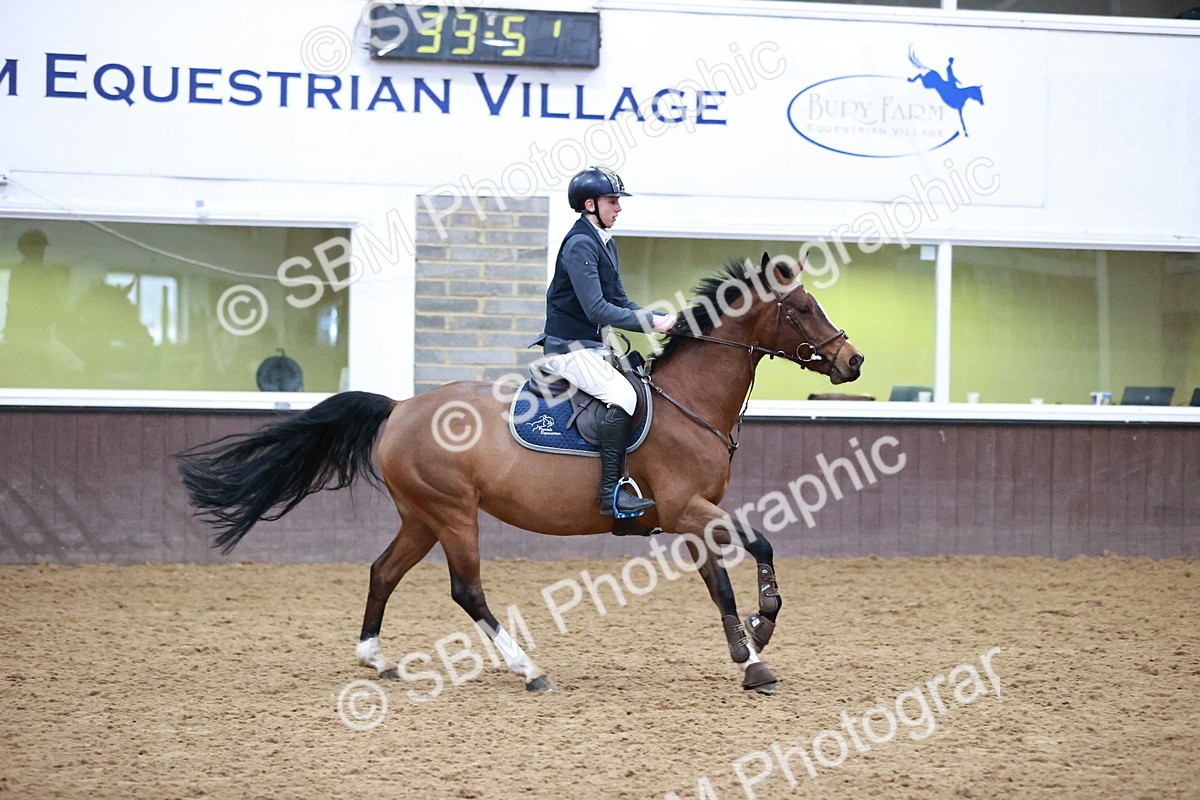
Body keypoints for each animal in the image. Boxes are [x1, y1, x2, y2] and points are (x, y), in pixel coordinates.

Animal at [177, 253, 864, 695]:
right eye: (804, 307)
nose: (853, 362)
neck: (688, 402)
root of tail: (399, 408)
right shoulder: (685, 507)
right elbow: (758, 545)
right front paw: (763, 628)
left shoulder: (692, 519)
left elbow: (720, 582)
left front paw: (750, 656)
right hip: (453, 512)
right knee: (467, 590)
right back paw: (527, 669)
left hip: (421, 516)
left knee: (383, 572)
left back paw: (376, 658)